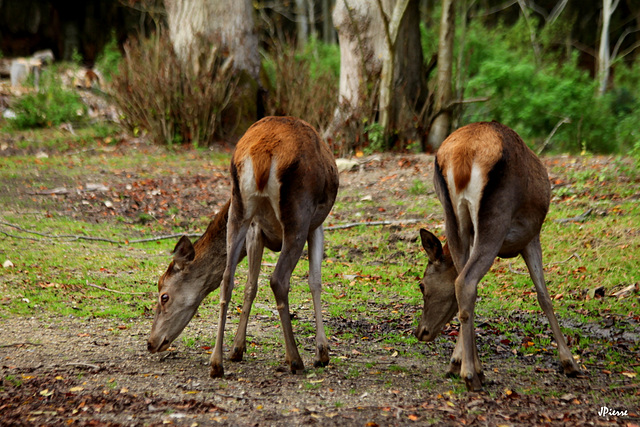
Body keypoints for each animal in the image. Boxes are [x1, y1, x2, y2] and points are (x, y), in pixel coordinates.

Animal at [146, 115, 340, 380]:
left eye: (164, 296)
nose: (150, 342)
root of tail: (262, 155)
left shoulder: (255, 230)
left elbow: (250, 285)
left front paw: (237, 348)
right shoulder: (317, 226)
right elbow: (315, 281)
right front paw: (322, 352)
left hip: (239, 208)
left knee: (227, 279)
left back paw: (216, 363)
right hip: (299, 211)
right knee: (278, 279)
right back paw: (295, 359)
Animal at [412, 121, 584, 392]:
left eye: (421, 285)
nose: (421, 332)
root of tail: (462, 157)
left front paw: (455, 362)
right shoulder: (531, 236)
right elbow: (543, 296)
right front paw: (570, 363)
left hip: (453, 218)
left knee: (462, 282)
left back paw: (472, 370)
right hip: (496, 216)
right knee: (466, 281)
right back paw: (471, 376)